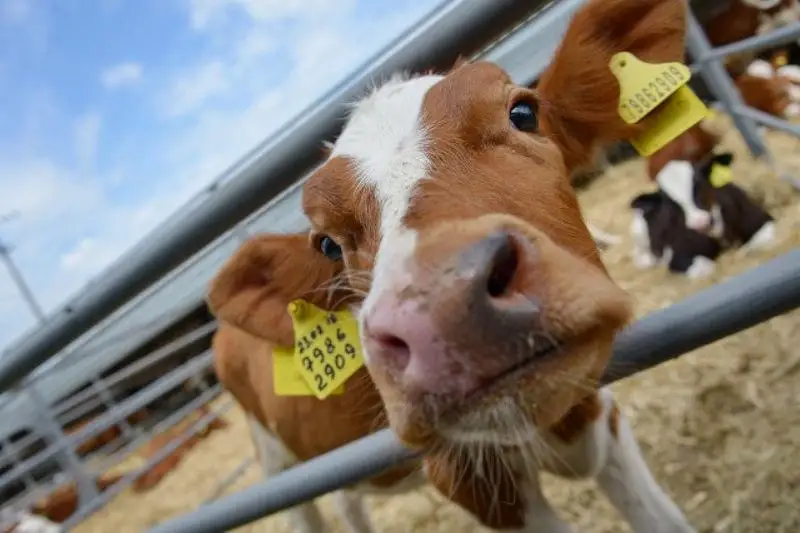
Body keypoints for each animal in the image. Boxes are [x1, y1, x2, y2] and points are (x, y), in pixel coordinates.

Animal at [208, 0, 699, 531]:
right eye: (327, 245)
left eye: (523, 112)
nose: (443, 310)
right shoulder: (468, 478)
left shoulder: (598, 410)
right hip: (276, 462)